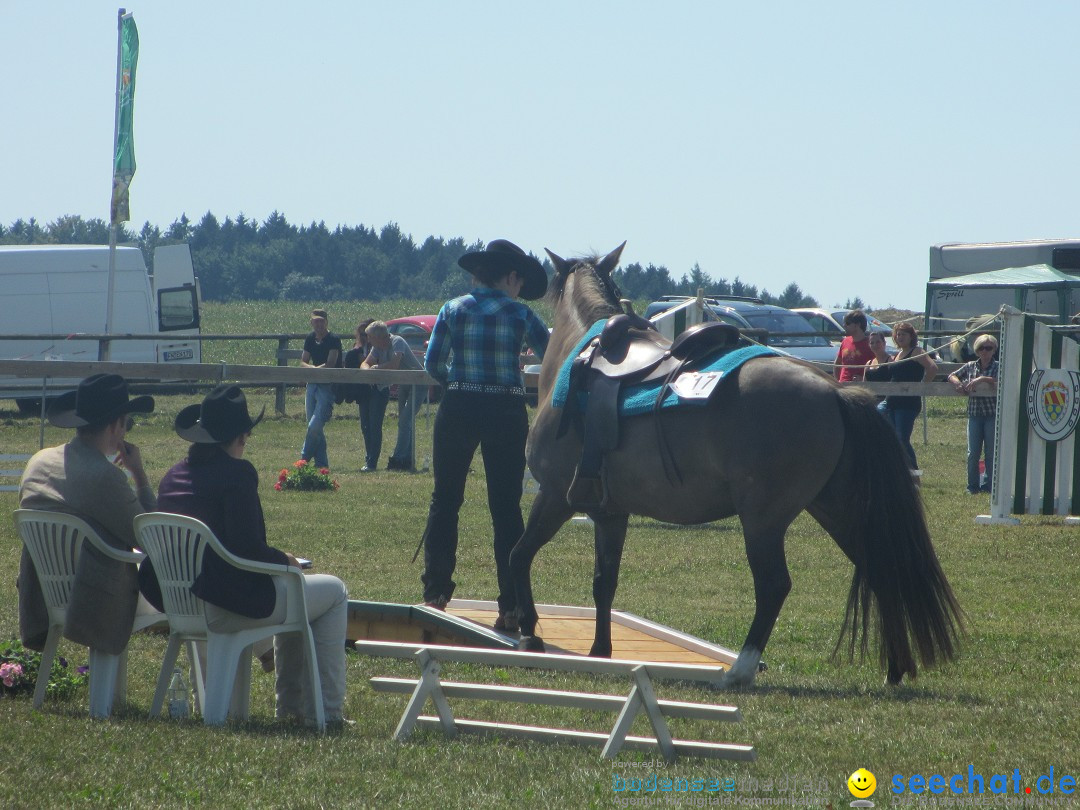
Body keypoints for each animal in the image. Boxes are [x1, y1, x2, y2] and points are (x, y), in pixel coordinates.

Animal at [509, 244, 967, 686]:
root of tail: (835, 392)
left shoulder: (555, 496)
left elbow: (521, 553)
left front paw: (526, 629)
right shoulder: (610, 514)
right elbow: (604, 582)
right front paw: (600, 651)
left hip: (764, 520)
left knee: (773, 586)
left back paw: (741, 670)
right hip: (838, 509)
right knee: (880, 568)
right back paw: (896, 668)